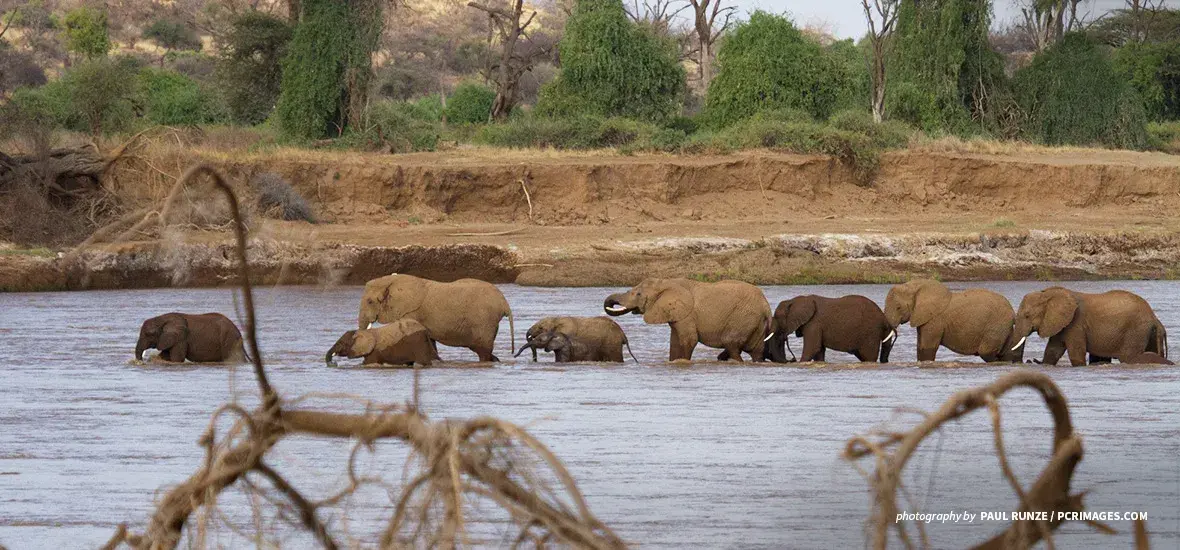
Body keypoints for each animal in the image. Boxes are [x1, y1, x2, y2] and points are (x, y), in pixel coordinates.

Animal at [353, 273, 512, 361]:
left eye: (370, 301)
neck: (391, 281)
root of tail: (504, 303)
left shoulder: (410, 313)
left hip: (484, 321)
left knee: (483, 352)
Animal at [604, 277, 769, 363]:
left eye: (638, 294)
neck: (667, 282)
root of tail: (765, 304)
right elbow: (675, 342)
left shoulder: (687, 315)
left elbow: (688, 340)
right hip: (756, 322)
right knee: (756, 351)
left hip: (744, 317)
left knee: (732, 345)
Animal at [764, 293, 892, 363]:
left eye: (778, 317)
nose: (791, 359)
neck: (795, 300)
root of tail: (884, 318)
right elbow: (819, 350)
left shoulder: (814, 323)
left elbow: (812, 348)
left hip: (870, 333)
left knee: (869, 356)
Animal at [887, 280, 1024, 363]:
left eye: (898, 307)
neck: (915, 286)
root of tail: (1013, 313)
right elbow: (920, 347)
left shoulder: (934, 320)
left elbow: (927, 348)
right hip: (1004, 327)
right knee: (1006, 353)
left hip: (996, 326)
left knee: (987, 353)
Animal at [1010, 285, 1165, 368]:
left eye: (1027, 316)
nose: (1030, 360)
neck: (1049, 293)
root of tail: (1154, 318)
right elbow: (1053, 350)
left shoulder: (1076, 323)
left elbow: (1076, 354)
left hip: (1135, 331)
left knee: (1129, 357)